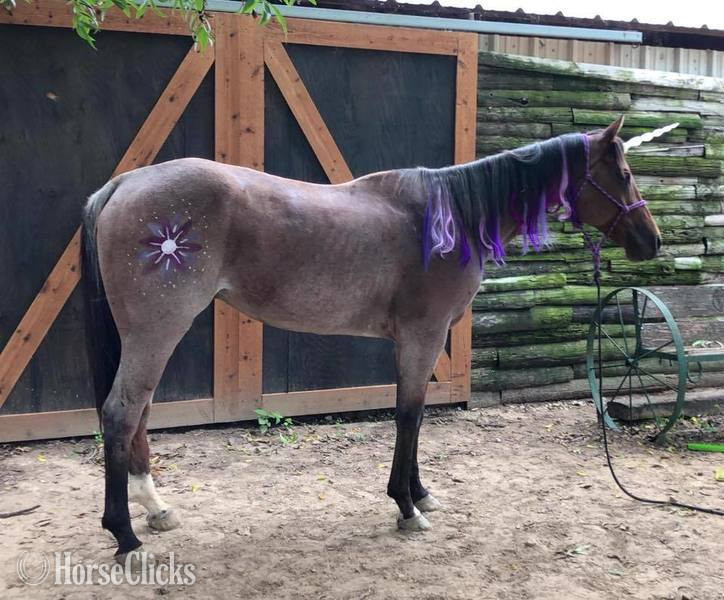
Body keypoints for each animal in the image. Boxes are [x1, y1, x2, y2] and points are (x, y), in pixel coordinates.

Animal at [80, 115, 661, 559]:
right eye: (625, 173)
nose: (651, 241)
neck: (451, 217)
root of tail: (122, 185)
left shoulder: (414, 341)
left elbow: (416, 414)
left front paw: (420, 494)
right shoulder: (423, 335)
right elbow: (408, 415)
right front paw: (405, 507)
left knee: (139, 413)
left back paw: (156, 509)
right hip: (158, 329)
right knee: (121, 412)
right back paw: (125, 535)